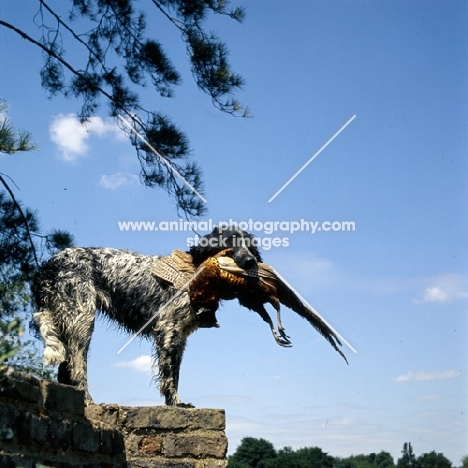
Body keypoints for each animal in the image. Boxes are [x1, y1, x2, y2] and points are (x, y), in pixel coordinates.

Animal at [33, 225, 262, 404]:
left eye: (250, 246)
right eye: (230, 242)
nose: (251, 261)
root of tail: (48, 265)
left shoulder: (179, 338)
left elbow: (175, 374)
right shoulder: (168, 331)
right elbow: (169, 377)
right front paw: (176, 404)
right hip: (82, 321)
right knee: (77, 369)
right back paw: (88, 401)